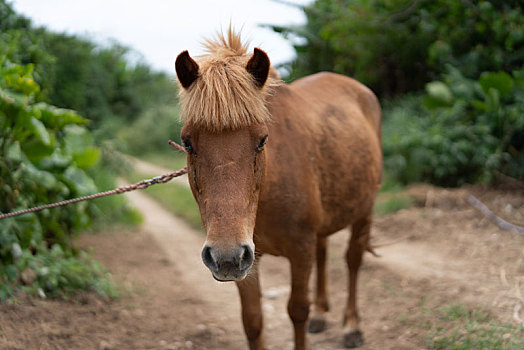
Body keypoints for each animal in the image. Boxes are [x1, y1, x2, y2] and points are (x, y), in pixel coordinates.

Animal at [175, 30, 380, 350]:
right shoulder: (248, 261)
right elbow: (253, 320)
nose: (225, 255)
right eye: (187, 142)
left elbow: (297, 310)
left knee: (353, 261)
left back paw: (352, 327)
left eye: (262, 140)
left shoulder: (299, 250)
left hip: (364, 211)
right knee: (324, 253)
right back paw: (322, 315)